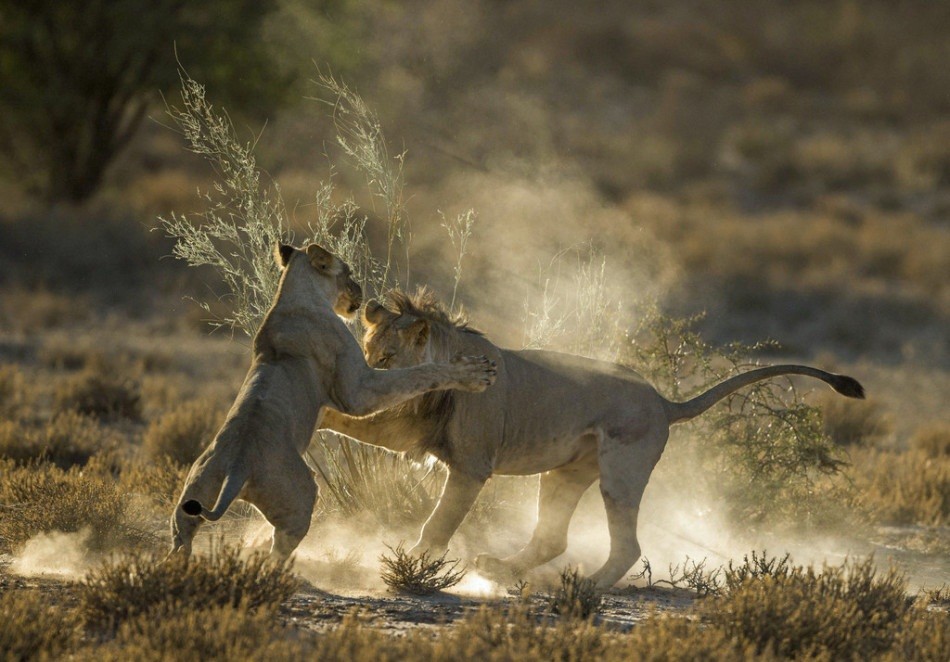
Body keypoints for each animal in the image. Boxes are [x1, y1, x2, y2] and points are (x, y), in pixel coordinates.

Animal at [171, 246, 498, 564]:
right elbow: (418, 375)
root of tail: (237, 469)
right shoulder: (359, 389)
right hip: (299, 497)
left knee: (181, 538)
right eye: (349, 272)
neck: (292, 298)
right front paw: (472, 373)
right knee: (279, 550)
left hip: (194, 490)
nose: (361, 291)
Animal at [322, 290, 872, 592]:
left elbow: (440, 523)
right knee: (553, 537)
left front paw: (414, 564)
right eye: (366, 349)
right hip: (564, 472)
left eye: (386, 356)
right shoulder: (403, 425)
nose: (363, 374)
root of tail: (663, 400)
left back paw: (585, 587)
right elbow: (354, 421)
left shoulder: (472, 465)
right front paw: (322, 408)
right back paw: (499, 570)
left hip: (620, 472)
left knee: (626, 545)